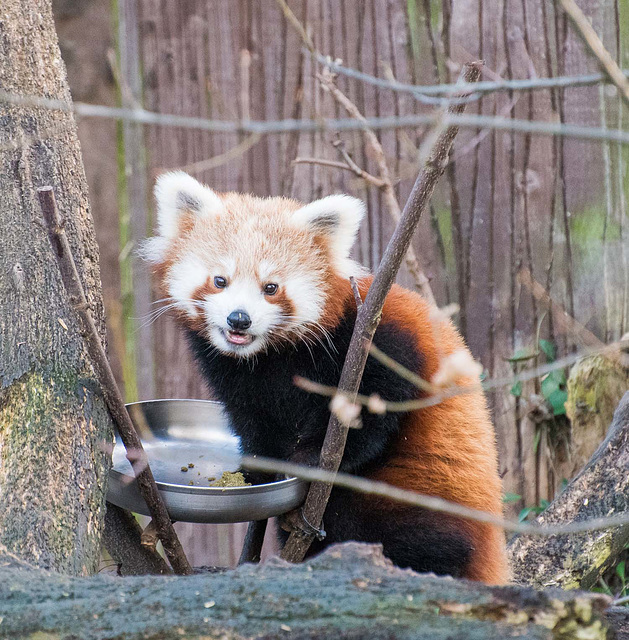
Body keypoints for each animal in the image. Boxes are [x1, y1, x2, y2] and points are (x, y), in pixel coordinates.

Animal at [145, 170, 508, 584]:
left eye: (271, 288)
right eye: (220, 281)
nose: (239, 319)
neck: (270, 357)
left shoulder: (378, 343)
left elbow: (372, 415)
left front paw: (308, 458)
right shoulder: (236, 378)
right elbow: (254, 424)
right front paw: (257, 471)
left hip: (422, 494)